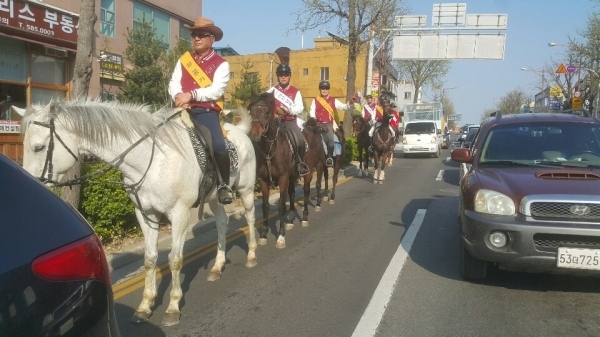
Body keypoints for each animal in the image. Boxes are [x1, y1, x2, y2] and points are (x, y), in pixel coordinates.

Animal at [18, 100, 258, 326]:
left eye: (38, 147)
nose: (32, 184)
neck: (154, 160)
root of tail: (240, 131)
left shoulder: (179, 214)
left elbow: (175, 259)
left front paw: (172, 307)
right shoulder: (146, 214)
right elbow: (150, 258)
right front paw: (145, 305)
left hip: (246, 190)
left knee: (250, 217)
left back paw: (252, 255)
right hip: (214, 199)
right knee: (222, 223)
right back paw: (217, 266)